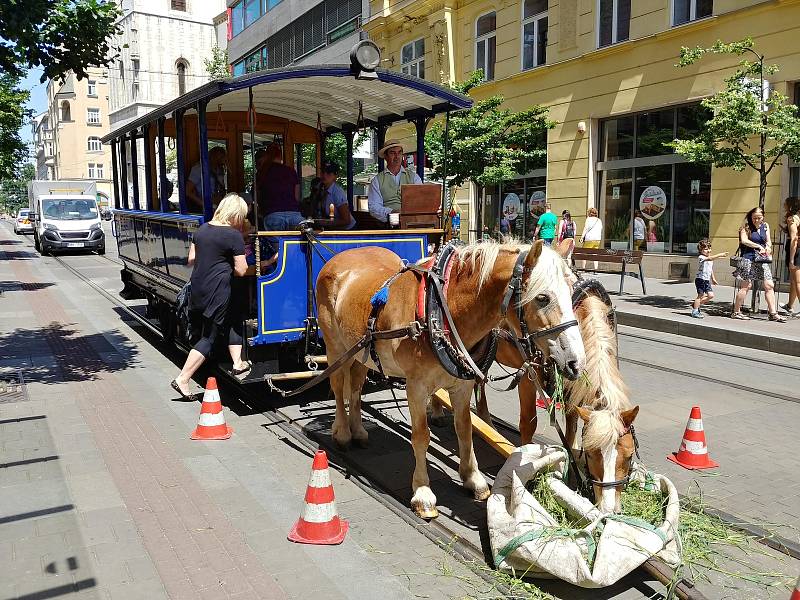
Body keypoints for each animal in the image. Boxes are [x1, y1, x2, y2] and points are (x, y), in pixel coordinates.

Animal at [316, 239, 584, 520]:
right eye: (542, 298)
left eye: (572, 292)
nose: (576, 362)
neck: (441, 311)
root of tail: (344, 254)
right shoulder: (416, 387)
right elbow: (421, 435)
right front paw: (423, 492)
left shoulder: (462, 386)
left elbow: (464, 429)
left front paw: (473, 479)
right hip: (335, 346)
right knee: (338, 388)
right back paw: (343, 433)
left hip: (359, 350)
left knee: (356, 386)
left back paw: (358, 430)